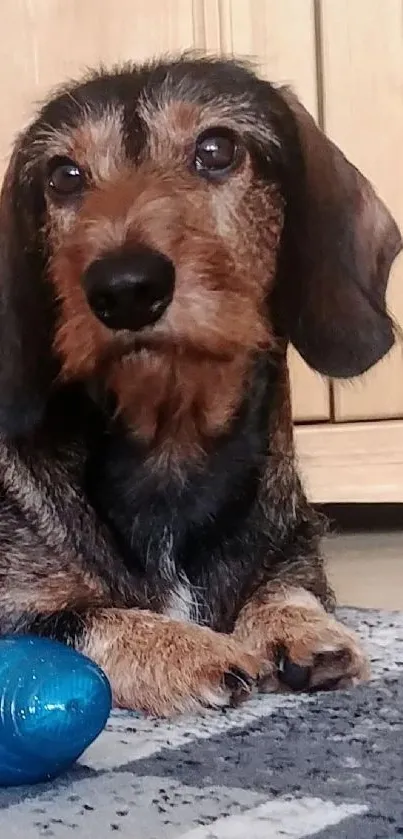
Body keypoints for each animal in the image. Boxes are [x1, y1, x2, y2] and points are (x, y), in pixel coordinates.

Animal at [0, 55, 400, 716]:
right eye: (63, 177)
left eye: (216, 149)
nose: (125, 287)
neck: (171, 445)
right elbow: (75, 616)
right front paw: (182, 647)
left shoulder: (296, 547)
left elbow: (289, 584)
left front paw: (299, 626)